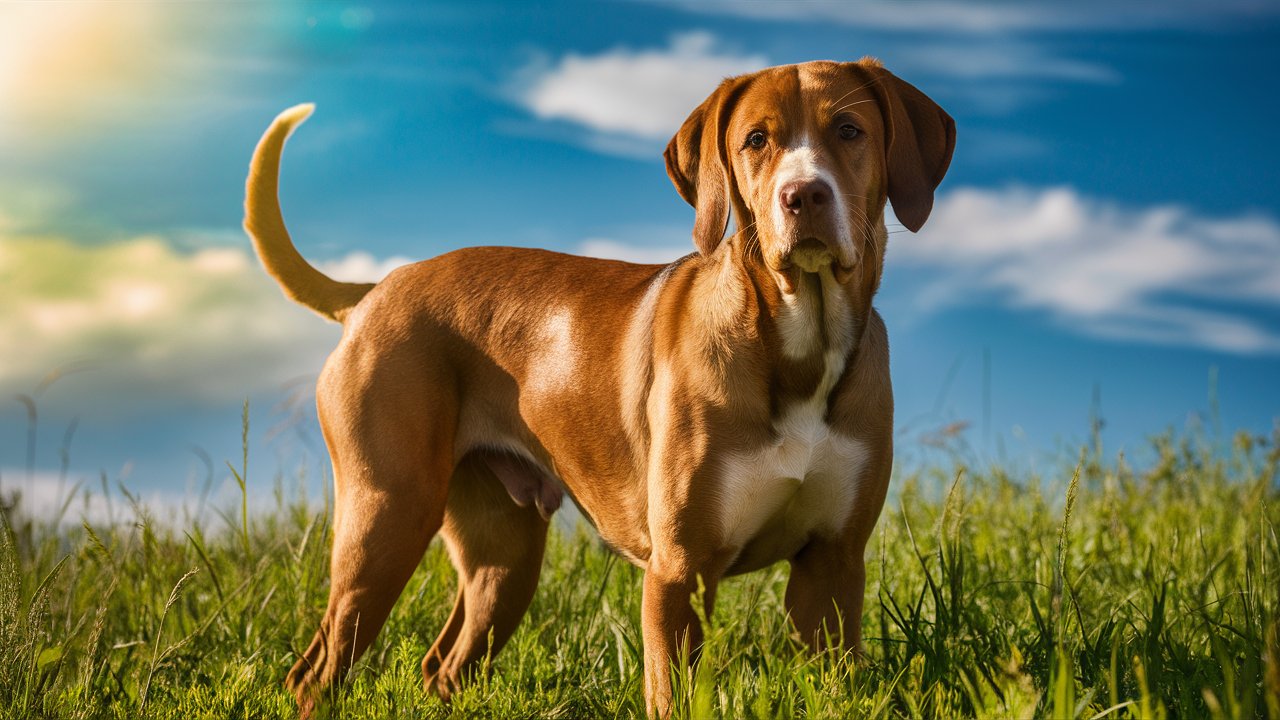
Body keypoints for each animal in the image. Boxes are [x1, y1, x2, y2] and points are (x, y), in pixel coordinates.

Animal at [244, 58, 957, 712]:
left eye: (849, 129)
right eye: (757, 139)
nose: (802, 196)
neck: (800, 344)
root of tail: (373, 291)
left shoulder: (830, 567)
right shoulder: (678, 574)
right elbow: (673, 695)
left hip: (503, 554)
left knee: (444, 663)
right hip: (386, 515)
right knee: (316, 670)